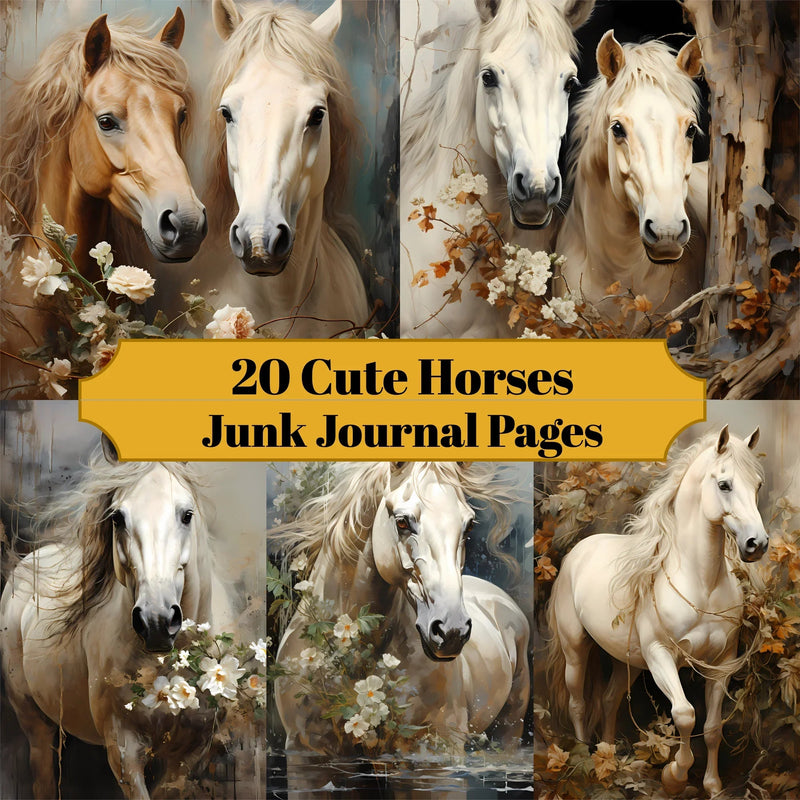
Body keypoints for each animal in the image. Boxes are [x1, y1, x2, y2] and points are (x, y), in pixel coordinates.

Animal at [0, 436, 228, 800]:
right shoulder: (124, 752)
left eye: (187, 515)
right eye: (118, 518)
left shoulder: (190, 754)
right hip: (35, 723)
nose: (156, 622)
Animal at [274, 462, 530, 762]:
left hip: (510, 729)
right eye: (402, 522)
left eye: (468, 526)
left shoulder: (439, 747)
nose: (452, 631)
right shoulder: (304, 747)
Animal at [546, 426, 768, 797]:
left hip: (627, 660)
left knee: (609, 699)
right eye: (724, 484)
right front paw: (674, 776)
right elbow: (685, 715)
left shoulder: (722, 664)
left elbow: (712, 728)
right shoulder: (660, 655)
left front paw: (713, 786)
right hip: (576, 650)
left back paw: (609, 758)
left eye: (758, 485)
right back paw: (582, 760)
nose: (758, 544)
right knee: (578, 702)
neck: (702, 585)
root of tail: (579, 551)